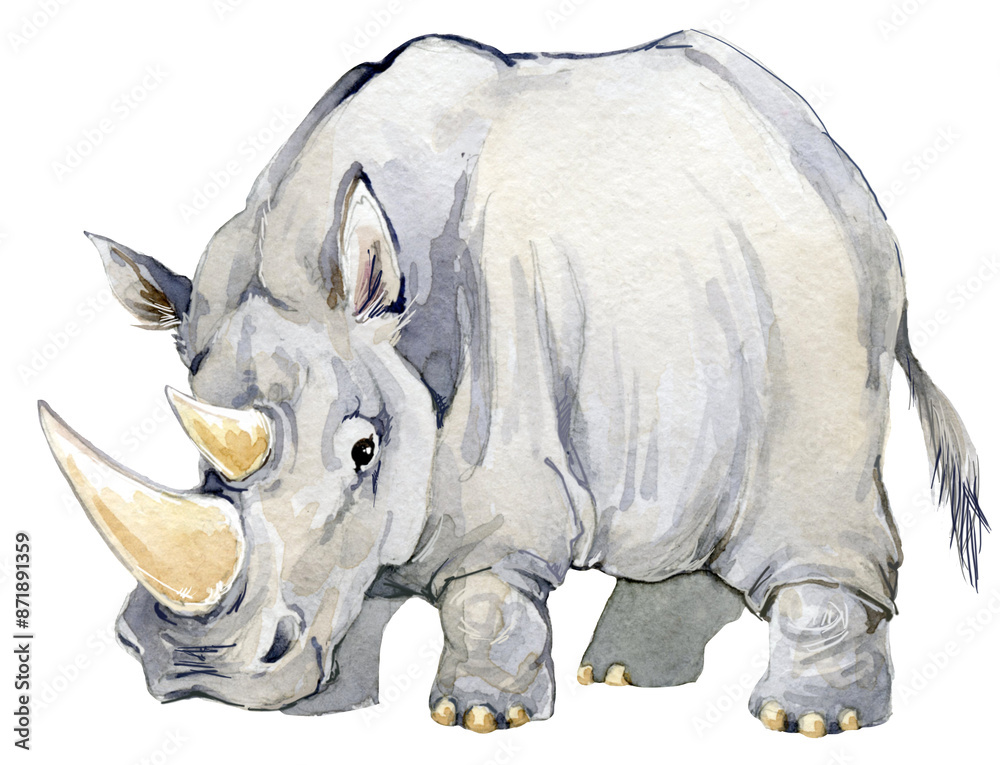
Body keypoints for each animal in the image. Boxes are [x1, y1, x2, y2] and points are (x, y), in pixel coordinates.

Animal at [40, 30, 987, 737]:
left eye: (364, 449)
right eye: (203, 457)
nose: (190, 670)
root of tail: (819, 147)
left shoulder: (503, 431)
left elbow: (486, 587)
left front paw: (478, 718)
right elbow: (361, 574)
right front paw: (330, 705)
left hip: (822, 281)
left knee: (812, 482)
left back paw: (806, 721)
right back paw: (626, 676)